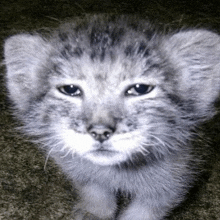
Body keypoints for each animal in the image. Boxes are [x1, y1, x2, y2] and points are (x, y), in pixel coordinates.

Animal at [3, 14, 220, 219]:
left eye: (140, 89)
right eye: (70, 89)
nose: (100, 132)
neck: (117, 172)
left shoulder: (177, 178)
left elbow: (148, 209)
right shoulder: (79, 170)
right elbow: (93, 189)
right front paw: (94, 212)